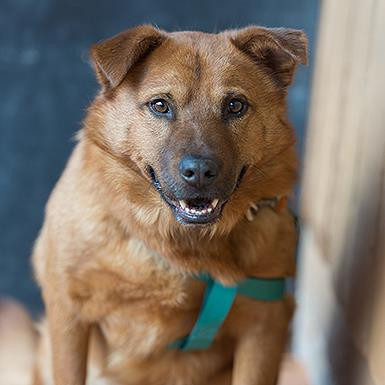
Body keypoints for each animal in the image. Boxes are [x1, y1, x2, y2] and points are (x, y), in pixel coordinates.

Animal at [18, 24, 306, 384]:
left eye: (235, 105)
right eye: (160, 105)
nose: (199, 172)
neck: (177, 244)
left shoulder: (264, 325)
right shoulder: (69, 313)